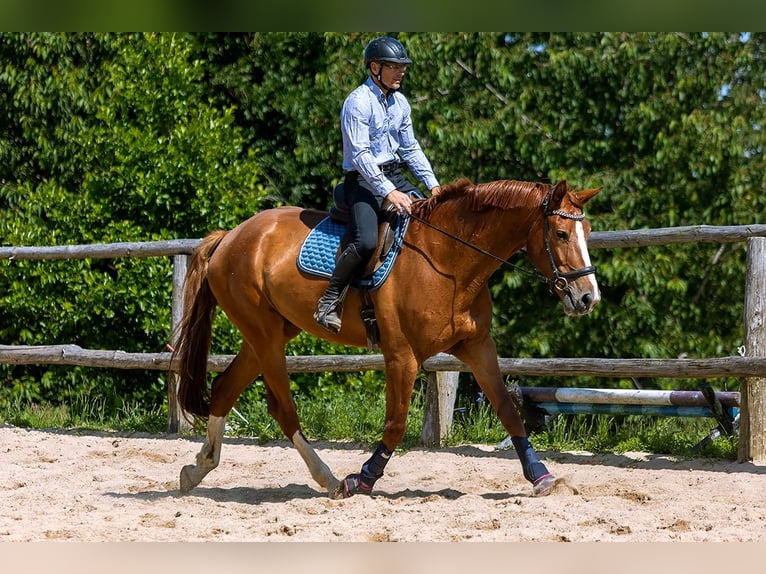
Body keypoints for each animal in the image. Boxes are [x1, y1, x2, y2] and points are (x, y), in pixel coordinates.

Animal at [173, 176, 601, 499]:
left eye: (587, 231)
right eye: (561, 233)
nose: (587, 297)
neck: (447, 261)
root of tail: (231, 236)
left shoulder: (478, 347)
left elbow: (508, 410)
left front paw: (542, 477)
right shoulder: (401, 355)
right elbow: (395, 423)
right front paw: (362, 479)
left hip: (268, 333)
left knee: (225, 388)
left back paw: (197, 469)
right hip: (264, 336)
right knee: (282, 409)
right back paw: (331, 480)